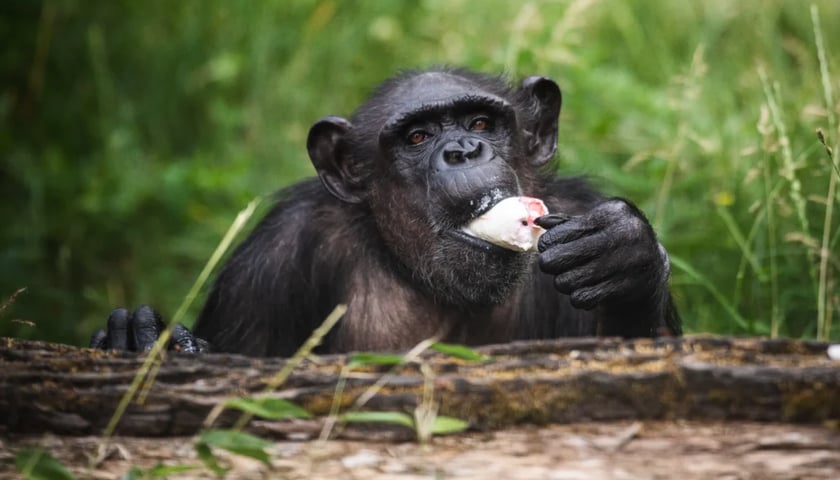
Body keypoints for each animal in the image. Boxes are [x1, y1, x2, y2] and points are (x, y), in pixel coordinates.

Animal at [90, 67, 684, 356]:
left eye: (481, 124)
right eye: (417, 136)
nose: (463, 151)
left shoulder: (576, 211)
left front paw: (625, 253)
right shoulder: (268, 265)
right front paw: (144, 338)